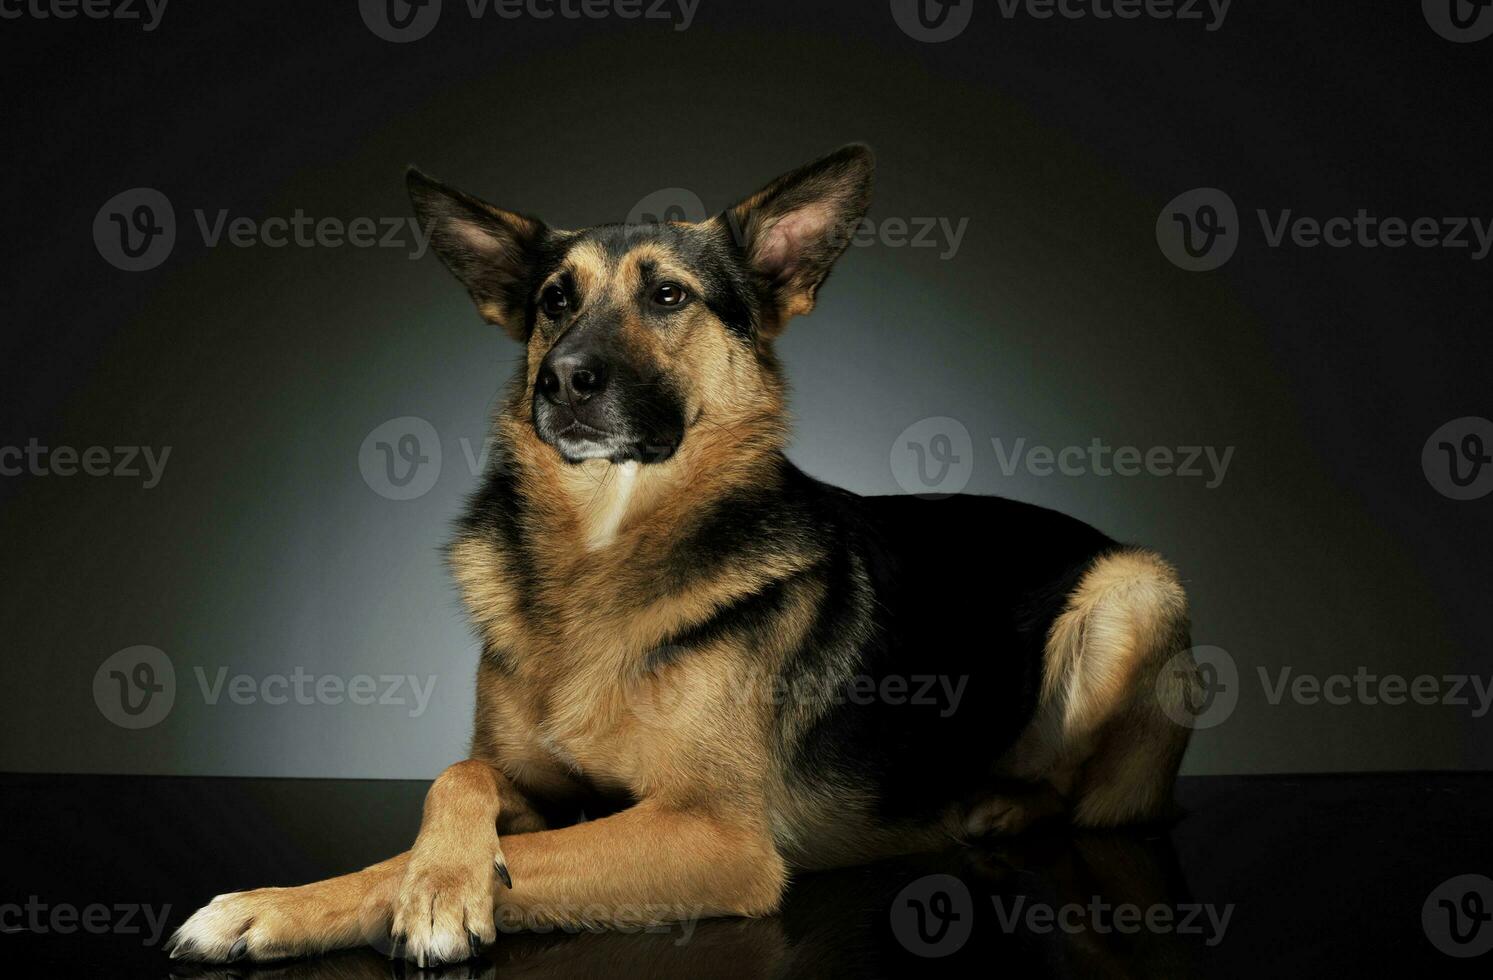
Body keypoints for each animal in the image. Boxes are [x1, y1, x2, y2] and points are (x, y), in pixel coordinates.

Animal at [171, 143, 1200, 962]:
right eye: (553, 301)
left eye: (667, 296)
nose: (560, 381)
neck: (604, 545)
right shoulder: (540, 788)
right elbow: (452, 781)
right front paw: (290, 903)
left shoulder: (711, 836)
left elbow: (515, 859)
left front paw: (435, 898)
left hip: (1135, 590)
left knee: (1082, 793)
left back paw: (993, 804)